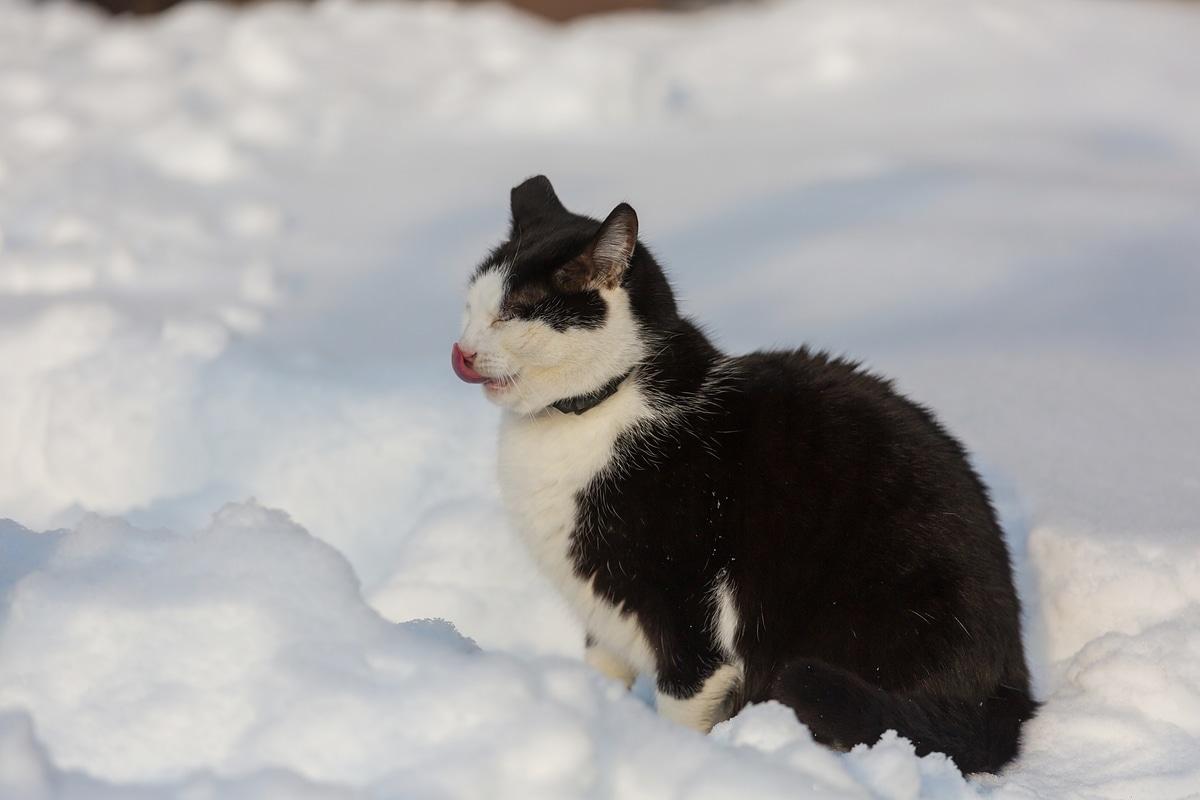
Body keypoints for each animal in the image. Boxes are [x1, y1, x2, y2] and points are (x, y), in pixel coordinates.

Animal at [453, 176, 1036, 777]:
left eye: (516, 312)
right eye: (471, 305)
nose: (463, 350)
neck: (599, 407)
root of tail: (1011, 685)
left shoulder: (691, 615)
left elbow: (684, 704)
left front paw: (674, 762)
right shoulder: (603, 615)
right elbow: (603, 674)